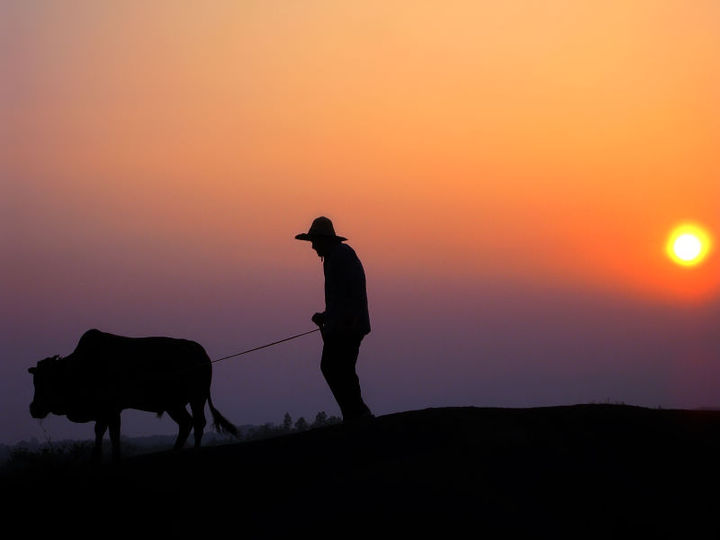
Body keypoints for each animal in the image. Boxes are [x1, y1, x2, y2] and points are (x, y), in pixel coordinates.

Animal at [28, 330, 239, 460]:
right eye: (35, 381)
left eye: (47, 381)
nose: (33, 408)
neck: (79, 368)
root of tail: (200, 351)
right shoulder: (105, 411)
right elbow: (101, 432)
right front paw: (97, 456)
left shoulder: (111, 410)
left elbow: (111, 433)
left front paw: (111, 456)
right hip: (174, 404)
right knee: (186, 423)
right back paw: (174, 450)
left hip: (197, 398)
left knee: (198, 423)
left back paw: (193, 450)